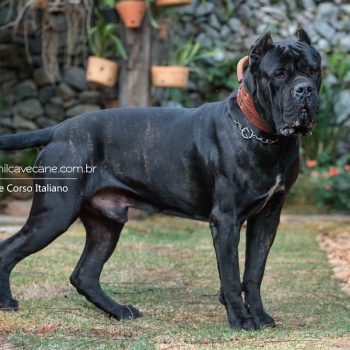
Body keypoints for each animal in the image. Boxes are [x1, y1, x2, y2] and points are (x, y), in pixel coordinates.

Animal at [0, 29, 322, 328]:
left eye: (313, 70)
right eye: (279, 74)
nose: (304, 90)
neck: (264, 135)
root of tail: (57, 131)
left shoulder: (267, 217)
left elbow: (254, 271)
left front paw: (259, 315)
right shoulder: (226, 219)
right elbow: (231, 275)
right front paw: (241, 319)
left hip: (106, 222)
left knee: (85, 275)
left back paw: (120, 311)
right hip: (55, 213)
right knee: (9, 250)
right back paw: (7, 302)